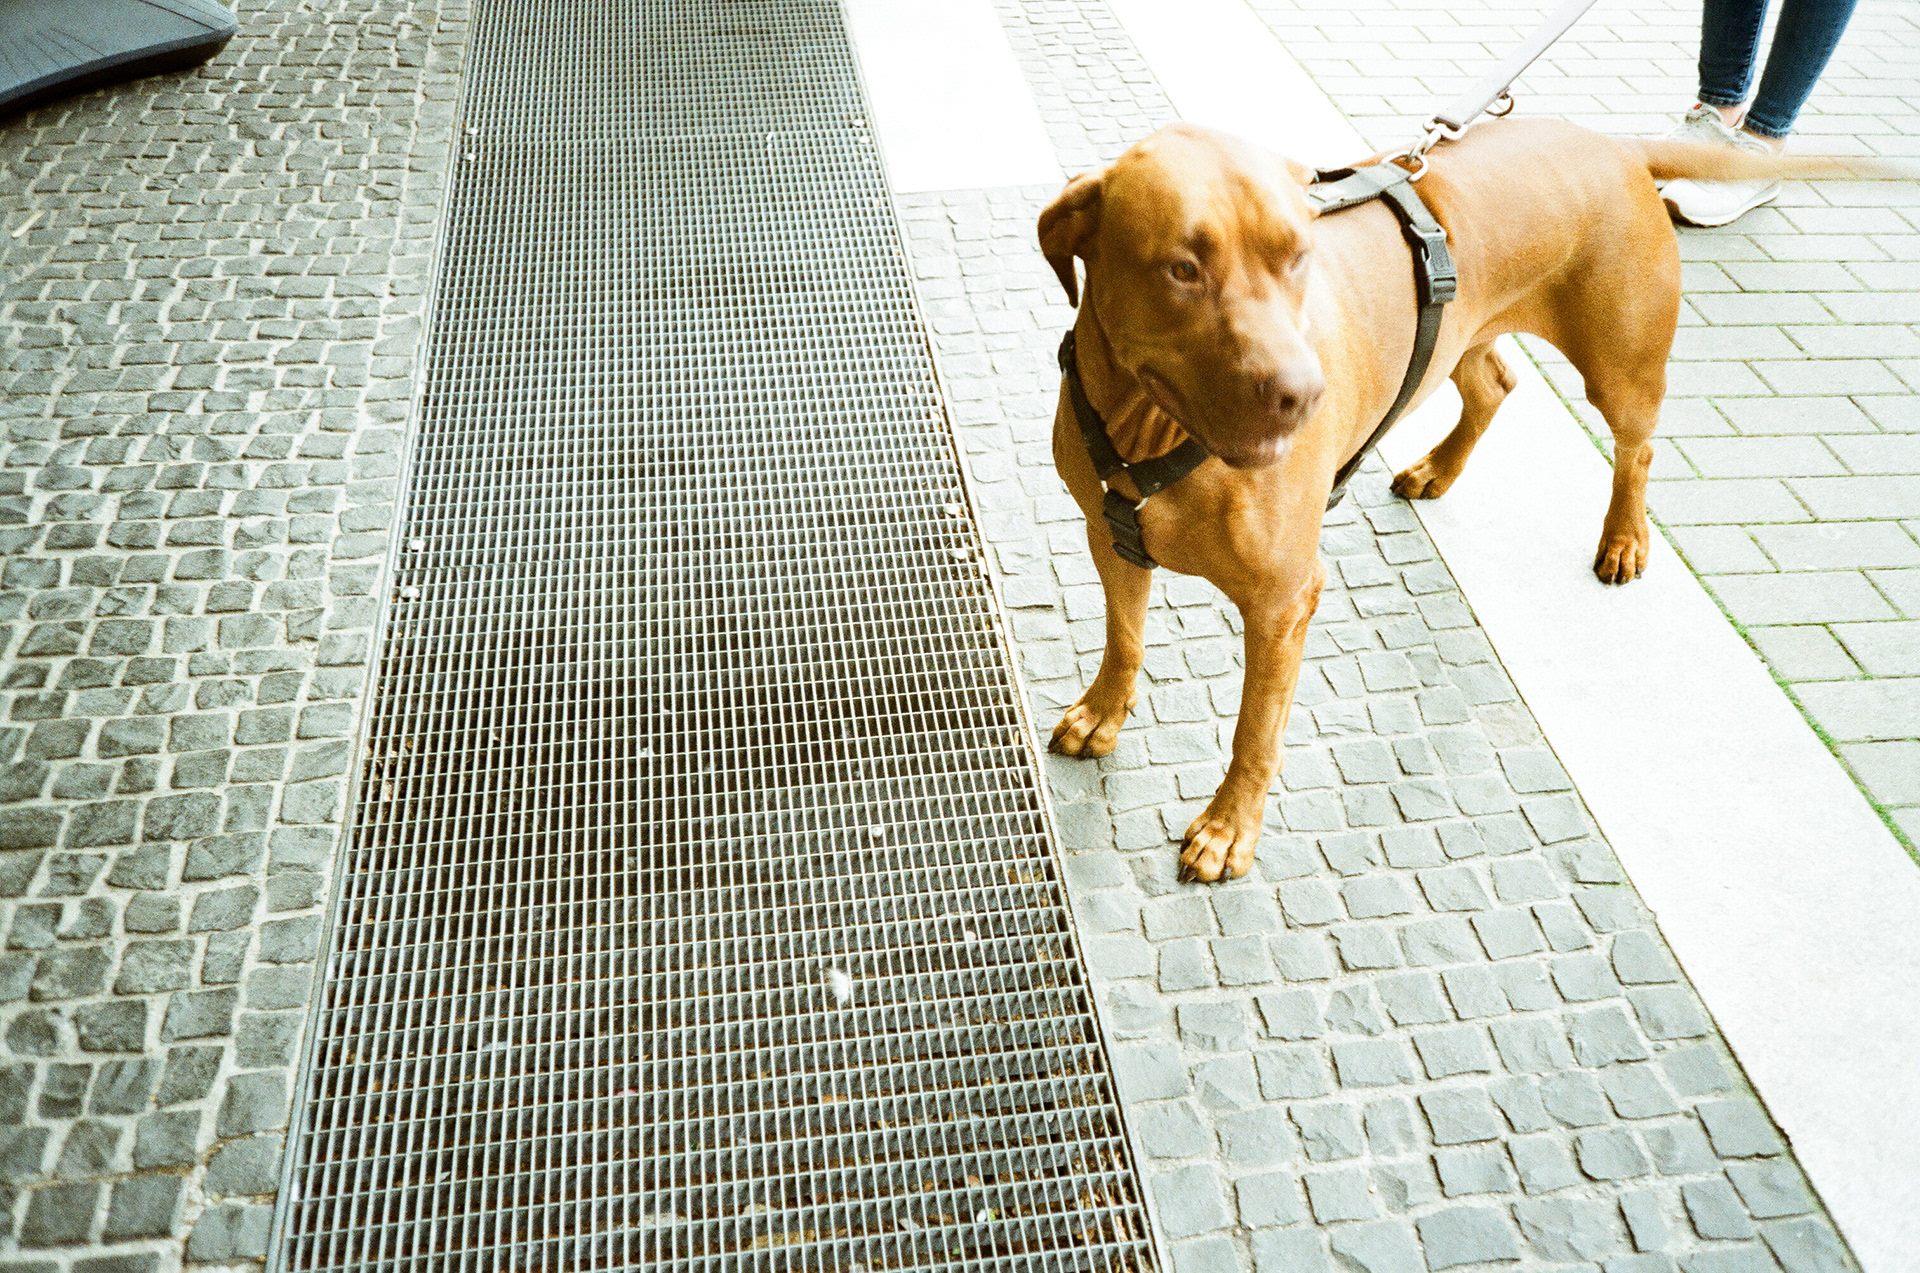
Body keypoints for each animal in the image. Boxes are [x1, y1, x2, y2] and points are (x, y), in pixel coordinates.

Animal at [1039, 117, 1865, 883]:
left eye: (1298, 257)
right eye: (1181, 268)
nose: (1305, 396)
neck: (1146, 428)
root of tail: (1613, 141)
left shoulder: (1282, 603)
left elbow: (1256, 732)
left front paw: (1229, 826)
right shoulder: (1108, 535)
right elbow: (1125, 637)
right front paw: (1104, 712)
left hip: (1622, 366)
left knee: (1638, 447)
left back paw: (1625, 535)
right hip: (1461, 331)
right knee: (1494, 384)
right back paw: (1440, 466)